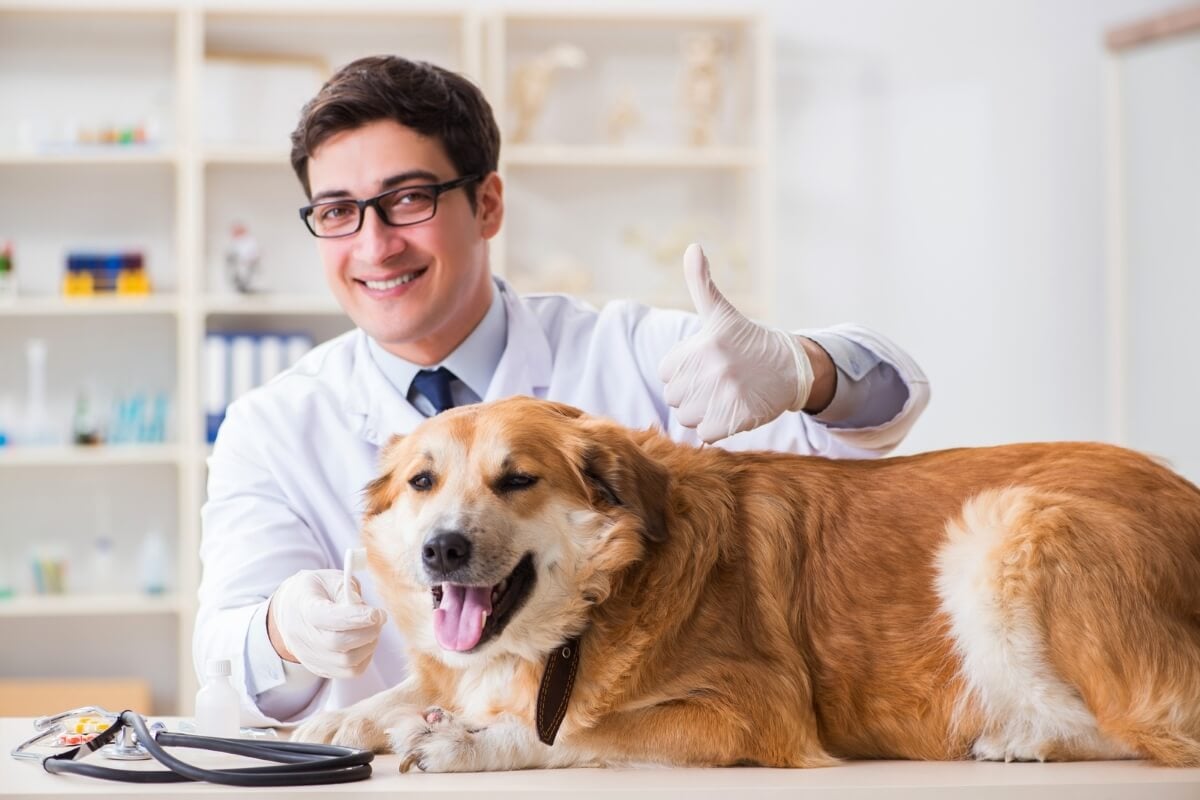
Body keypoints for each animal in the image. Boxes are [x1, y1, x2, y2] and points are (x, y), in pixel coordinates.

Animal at [292, 398, 1200, 772]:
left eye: (516, 479)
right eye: (422, 482)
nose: (441, 552)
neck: (595, 604)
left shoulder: (754, 711)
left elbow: (582, 729)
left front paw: (473, 741)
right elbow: (416, 688)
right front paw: (344, 720)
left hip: (1005, 520)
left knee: (1147, 724)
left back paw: (1022, 737)